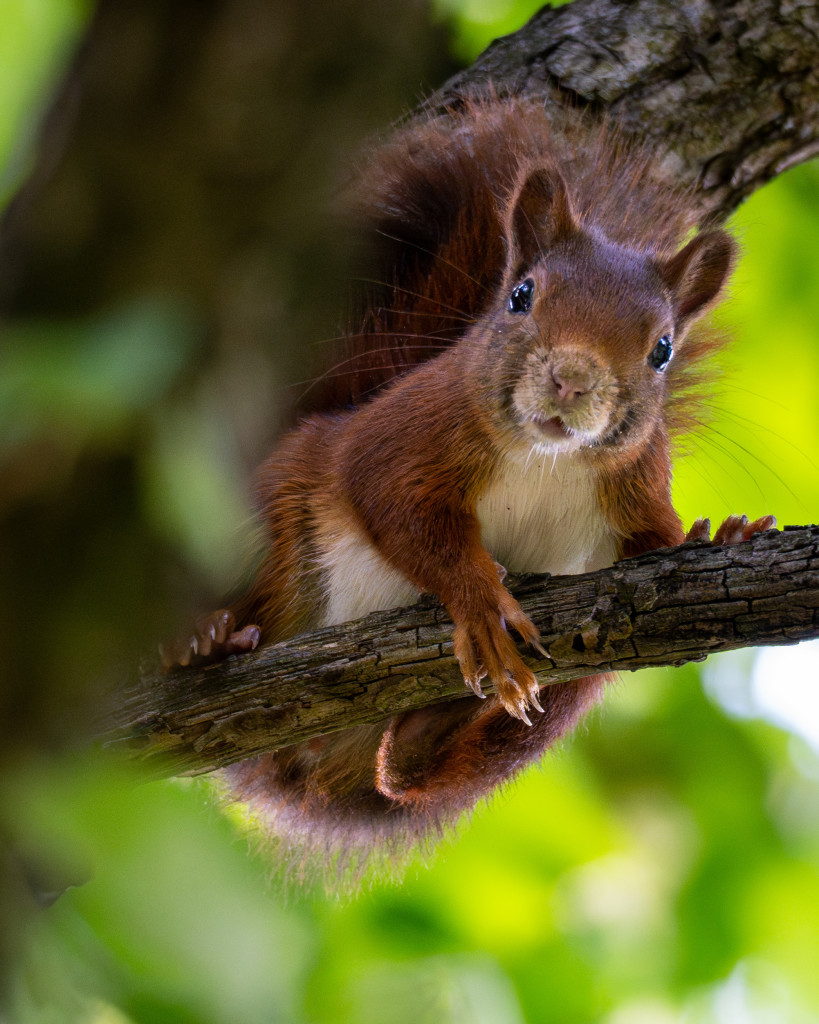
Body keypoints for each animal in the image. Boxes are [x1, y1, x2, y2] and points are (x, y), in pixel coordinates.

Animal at [162, 97, 769, 872]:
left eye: (662, 349)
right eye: (521, 296)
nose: (571, 379)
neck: (546, 463)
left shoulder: (634, 498)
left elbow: (658, 545)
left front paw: (724, 533)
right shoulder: (402, 438)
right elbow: (404, 514)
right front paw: (480, 602)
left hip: (560, 702)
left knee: (412, 774)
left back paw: (427, 730)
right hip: (262, 528)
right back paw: (204, 637)